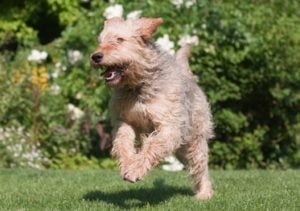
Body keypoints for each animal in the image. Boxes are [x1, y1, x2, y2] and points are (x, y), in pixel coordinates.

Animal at [90, 16, 214, 199]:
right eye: (101, 41)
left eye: (119, 39)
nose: (95, 56)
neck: (138, 87)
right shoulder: (124, 121)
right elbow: (122, 143)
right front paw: (128, 164)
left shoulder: (170, 126)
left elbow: (152, 146)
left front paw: (135, 170)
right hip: (181, 149)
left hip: (194, 140)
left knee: (200, 166)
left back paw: (204, 193)